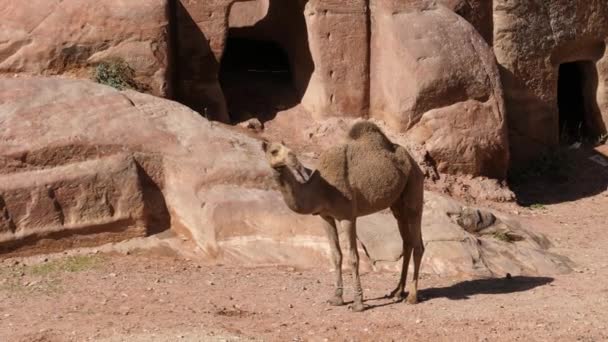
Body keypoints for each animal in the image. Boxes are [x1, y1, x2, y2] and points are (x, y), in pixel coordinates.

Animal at [260, 121, 422, 312]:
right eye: (273, 151)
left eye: (289, 149)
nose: (293, 159)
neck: (321, 189)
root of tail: (414, 162)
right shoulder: (325, 216)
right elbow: (336, 255)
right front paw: (337, 298)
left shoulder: (347, 216)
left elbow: (353, 257)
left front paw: (358, 303)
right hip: (398, 204)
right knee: (407, 241)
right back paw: (397, 292)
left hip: (414, 188)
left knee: (418, 242)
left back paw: (412, 297)